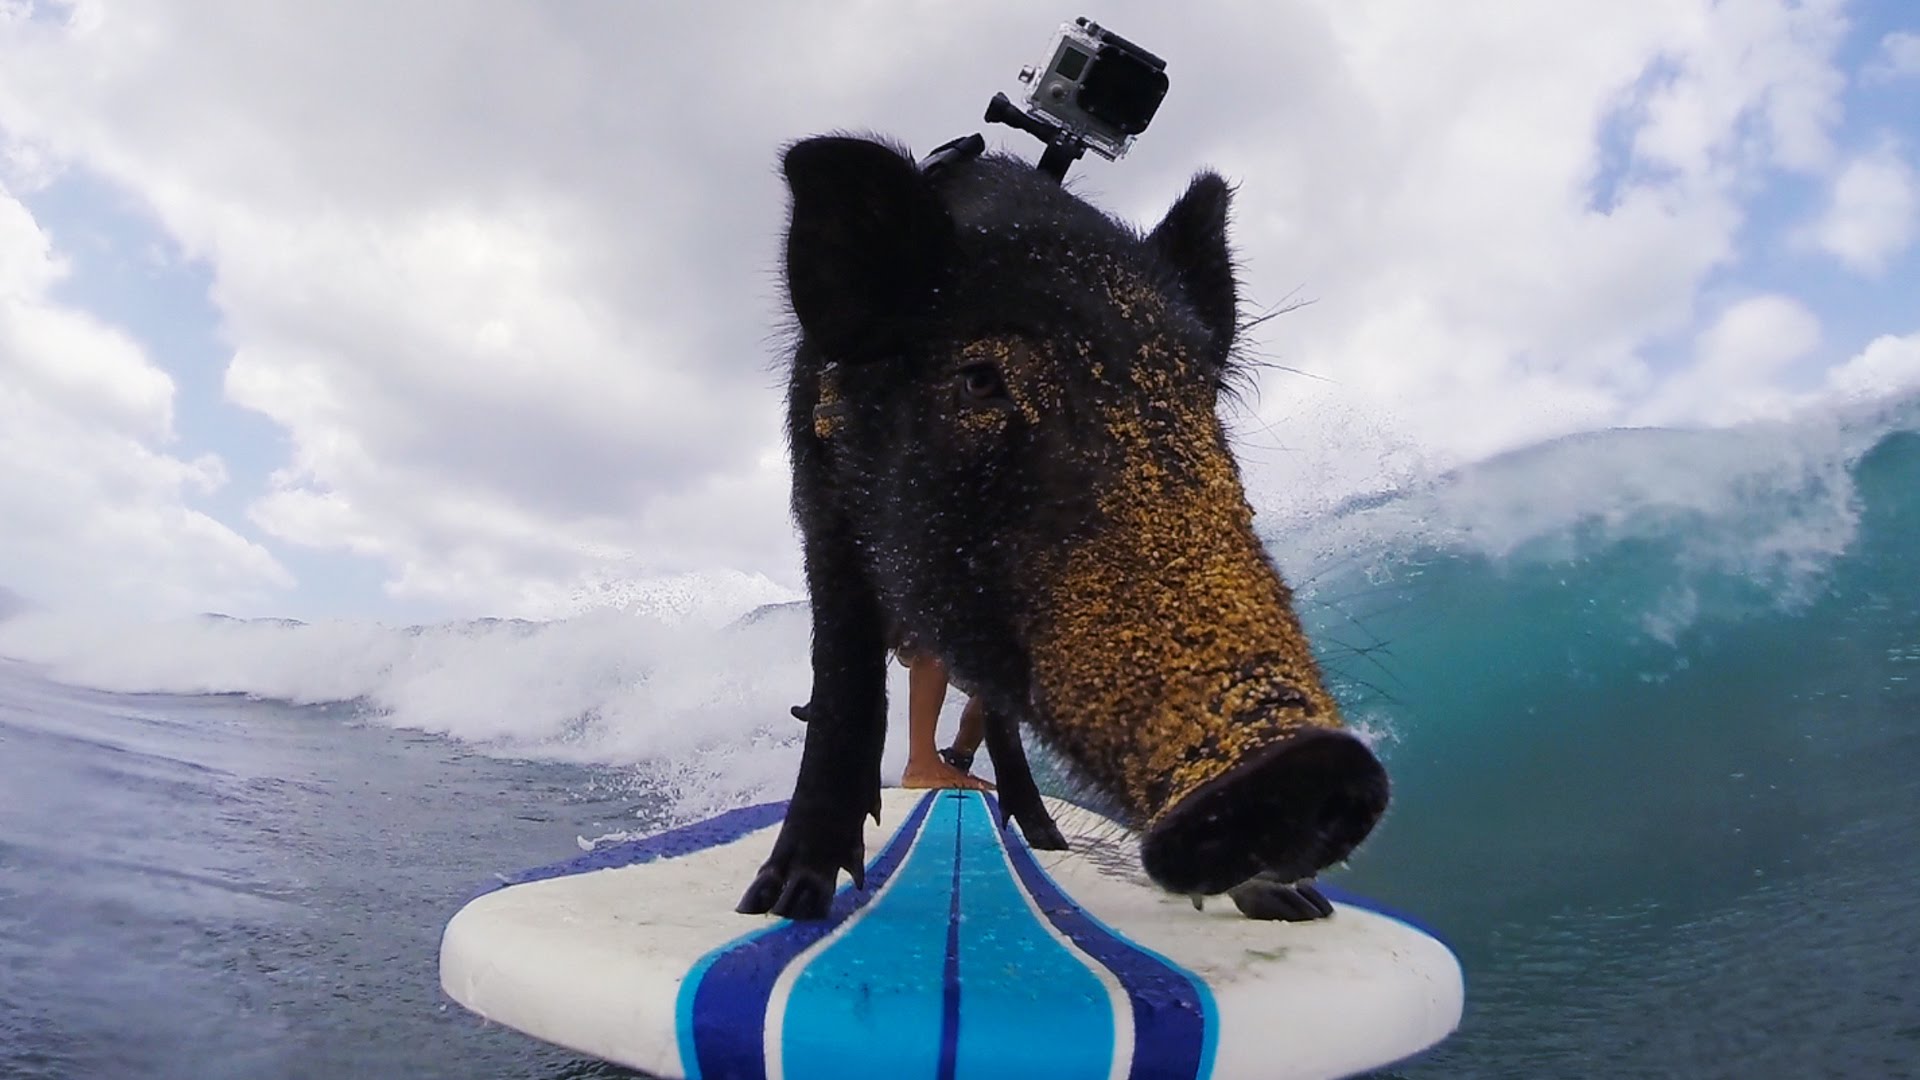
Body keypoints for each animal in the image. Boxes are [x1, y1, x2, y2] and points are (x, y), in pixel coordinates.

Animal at [737, 135, 1388, 923]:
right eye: (980, 378)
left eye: (1201, 391)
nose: (1305, 762)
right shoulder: (824, 508)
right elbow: (842, 680)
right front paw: (782, 902)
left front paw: (1298, 906)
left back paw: (1047, 838)